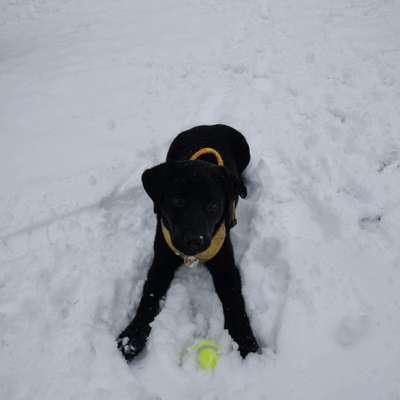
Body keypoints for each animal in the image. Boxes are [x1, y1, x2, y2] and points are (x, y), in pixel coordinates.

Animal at [116, 124, 260, 360]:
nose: (194, 241)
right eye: (177, 200)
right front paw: (132, 337)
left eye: (213, 205)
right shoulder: (161, 260)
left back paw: (243, 187)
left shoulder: (225, 264)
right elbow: (148, 297)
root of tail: (210, 125)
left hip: (245, 150)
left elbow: (234, 301)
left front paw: (246, 342)